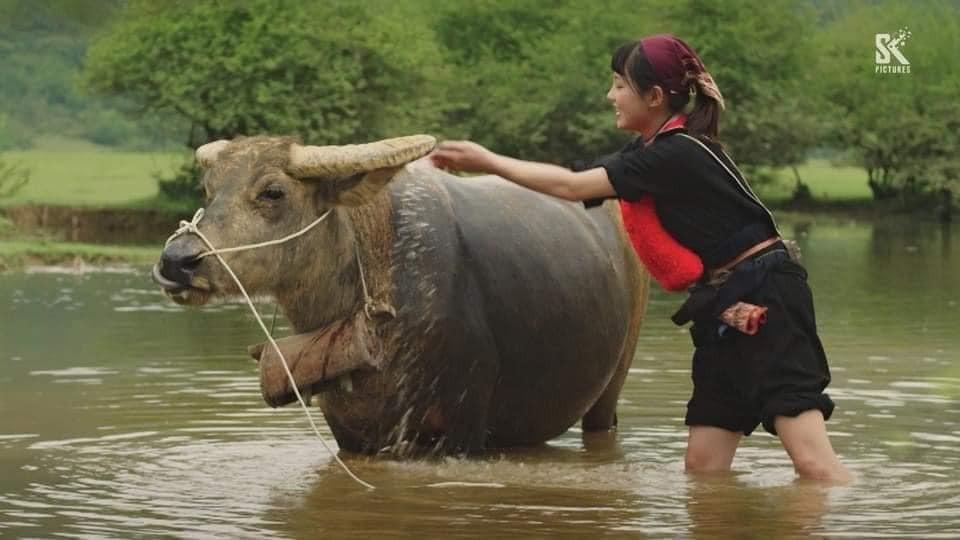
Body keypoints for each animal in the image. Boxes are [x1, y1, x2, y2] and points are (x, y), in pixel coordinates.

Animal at [154, 135, 648, 456]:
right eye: (209, 190)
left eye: (273, 191)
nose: (177, 261)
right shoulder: (350, 434)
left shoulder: (462, 430)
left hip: (611, 387)